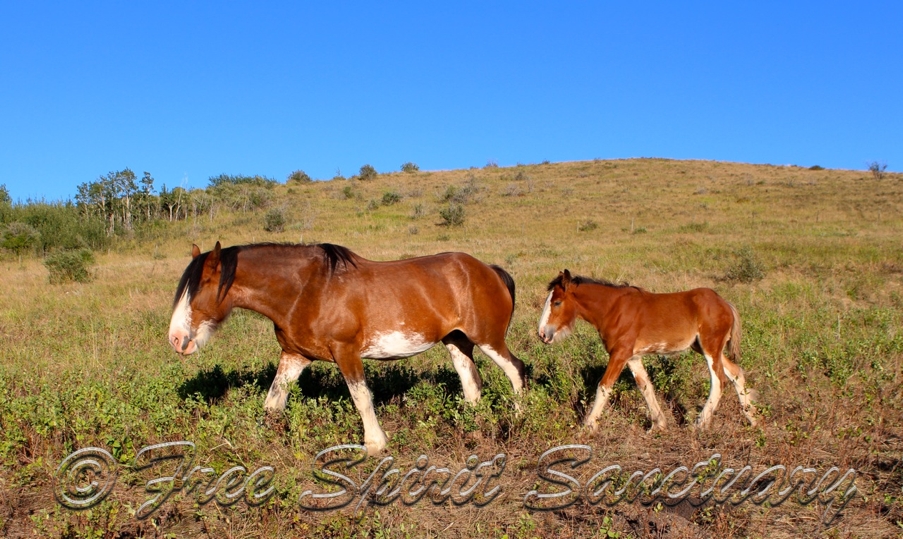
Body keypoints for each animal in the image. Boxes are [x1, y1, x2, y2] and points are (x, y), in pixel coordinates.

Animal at [168, 243, 528, 454]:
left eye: (200, 286)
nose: (176, 339)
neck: (306, 289)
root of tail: (490, 270)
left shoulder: (346, 352)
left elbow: (361, 398)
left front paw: (375, 445)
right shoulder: (295, 356)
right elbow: (272, 404)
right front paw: (251, 443)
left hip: (488, 339)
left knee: (517, 371)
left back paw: (518, 419)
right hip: (457, 341)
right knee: (472, 386)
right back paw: (472, 428)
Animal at [540, 272, 760, 432]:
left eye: (557, 302)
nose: (542, 334)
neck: (613, 309)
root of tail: (725, 304)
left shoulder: (619, 354)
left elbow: (604, 386)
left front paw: (588, 427)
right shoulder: (632, 357)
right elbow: (646, 387)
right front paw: (658, 425)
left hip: (710, 347)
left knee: (719, 380)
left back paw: (700, 424)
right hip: (705, 347)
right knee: (736, 373)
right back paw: (753, 418)